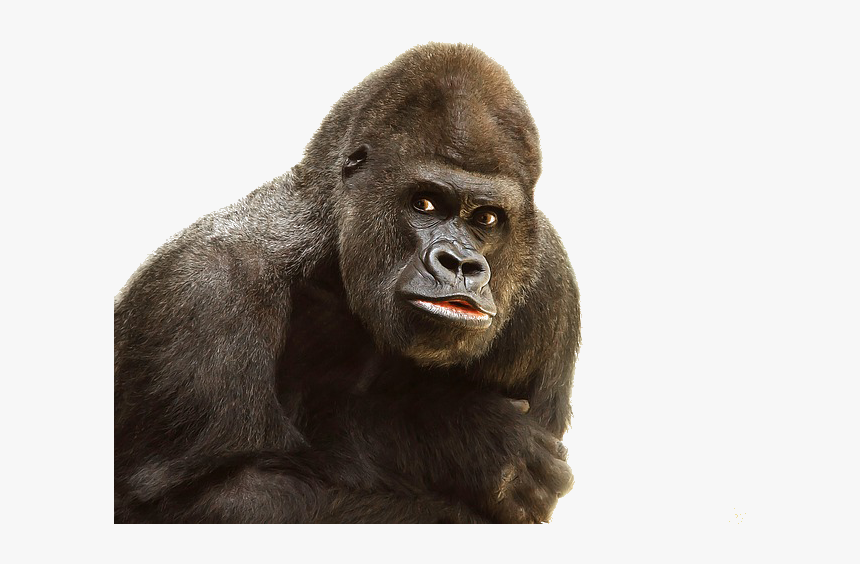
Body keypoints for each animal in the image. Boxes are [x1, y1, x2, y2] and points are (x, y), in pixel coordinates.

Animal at [114, 42, 580, 523]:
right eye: (425, 203)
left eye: (486, 218)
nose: (461, 264)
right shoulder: (205, 288)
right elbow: (203, 497)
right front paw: (457, 436)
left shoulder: (551, 286)